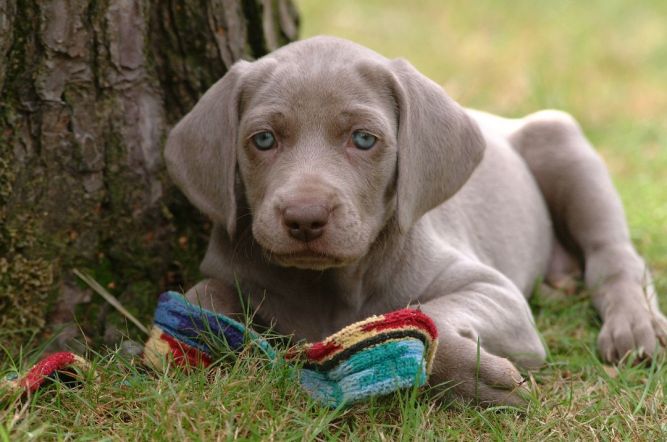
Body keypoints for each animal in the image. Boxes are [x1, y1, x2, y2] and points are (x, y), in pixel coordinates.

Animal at [163, 36, 667, 406]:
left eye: (364, 139)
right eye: (264, 139)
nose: (305, 219)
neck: (335, 285)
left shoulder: (496, 291)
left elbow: (430, 314)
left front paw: (481, 377)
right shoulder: (225, 274)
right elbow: (203, 300)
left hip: (561, 141)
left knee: (615, 258)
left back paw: (634, 324)